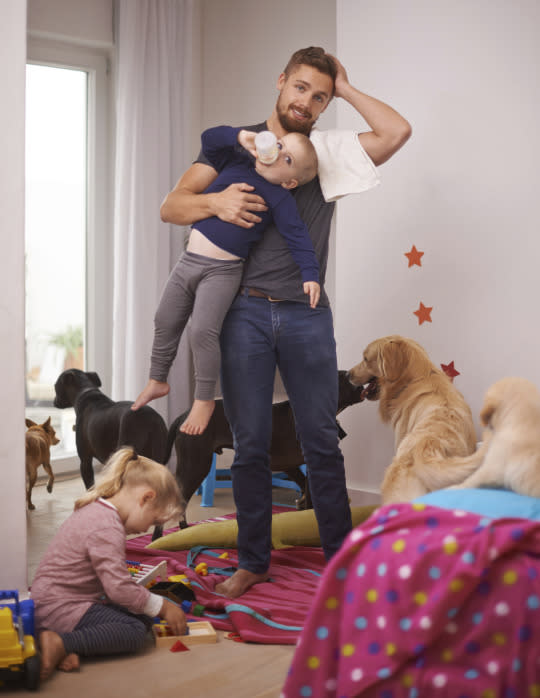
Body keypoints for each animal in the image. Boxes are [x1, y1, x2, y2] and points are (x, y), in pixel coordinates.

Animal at [169, 368, 362, 524]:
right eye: (347, 377)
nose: (363, 385)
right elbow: (311, 499)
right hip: (196, 465)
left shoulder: (291, 465)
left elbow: (304, 490)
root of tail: (183, 416)